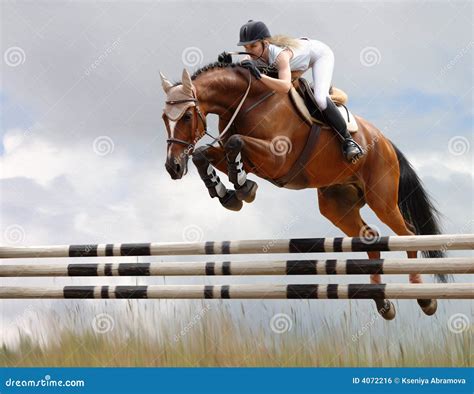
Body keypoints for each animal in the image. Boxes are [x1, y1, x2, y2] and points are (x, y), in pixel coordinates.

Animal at [161, 62, 446, 320]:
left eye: (187, 116)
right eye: (165, 118)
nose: (172, 167)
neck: (247, 101)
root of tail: (385, 142)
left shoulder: (277, 158)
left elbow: (235, 141)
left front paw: (242, 186)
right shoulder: (245, 158)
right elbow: (204, 153)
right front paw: (229, 193)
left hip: (381, 198)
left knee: (408, 234)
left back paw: (424, 299)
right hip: (337, 206)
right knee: (370, 238)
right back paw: (382, 302)